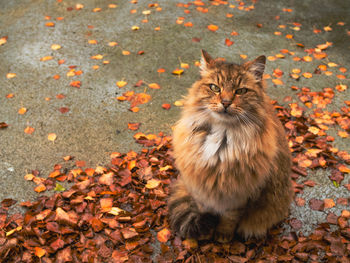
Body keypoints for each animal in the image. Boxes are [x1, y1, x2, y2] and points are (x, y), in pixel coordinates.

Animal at [168, 50, 294, 243]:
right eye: (215, 88)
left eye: (240, 91)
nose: (226, 102)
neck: (222, 136)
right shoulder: (201, 186)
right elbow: (203, 209)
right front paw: (206, 228)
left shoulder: (240, 194)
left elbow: (229, 218)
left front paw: (222, 235)